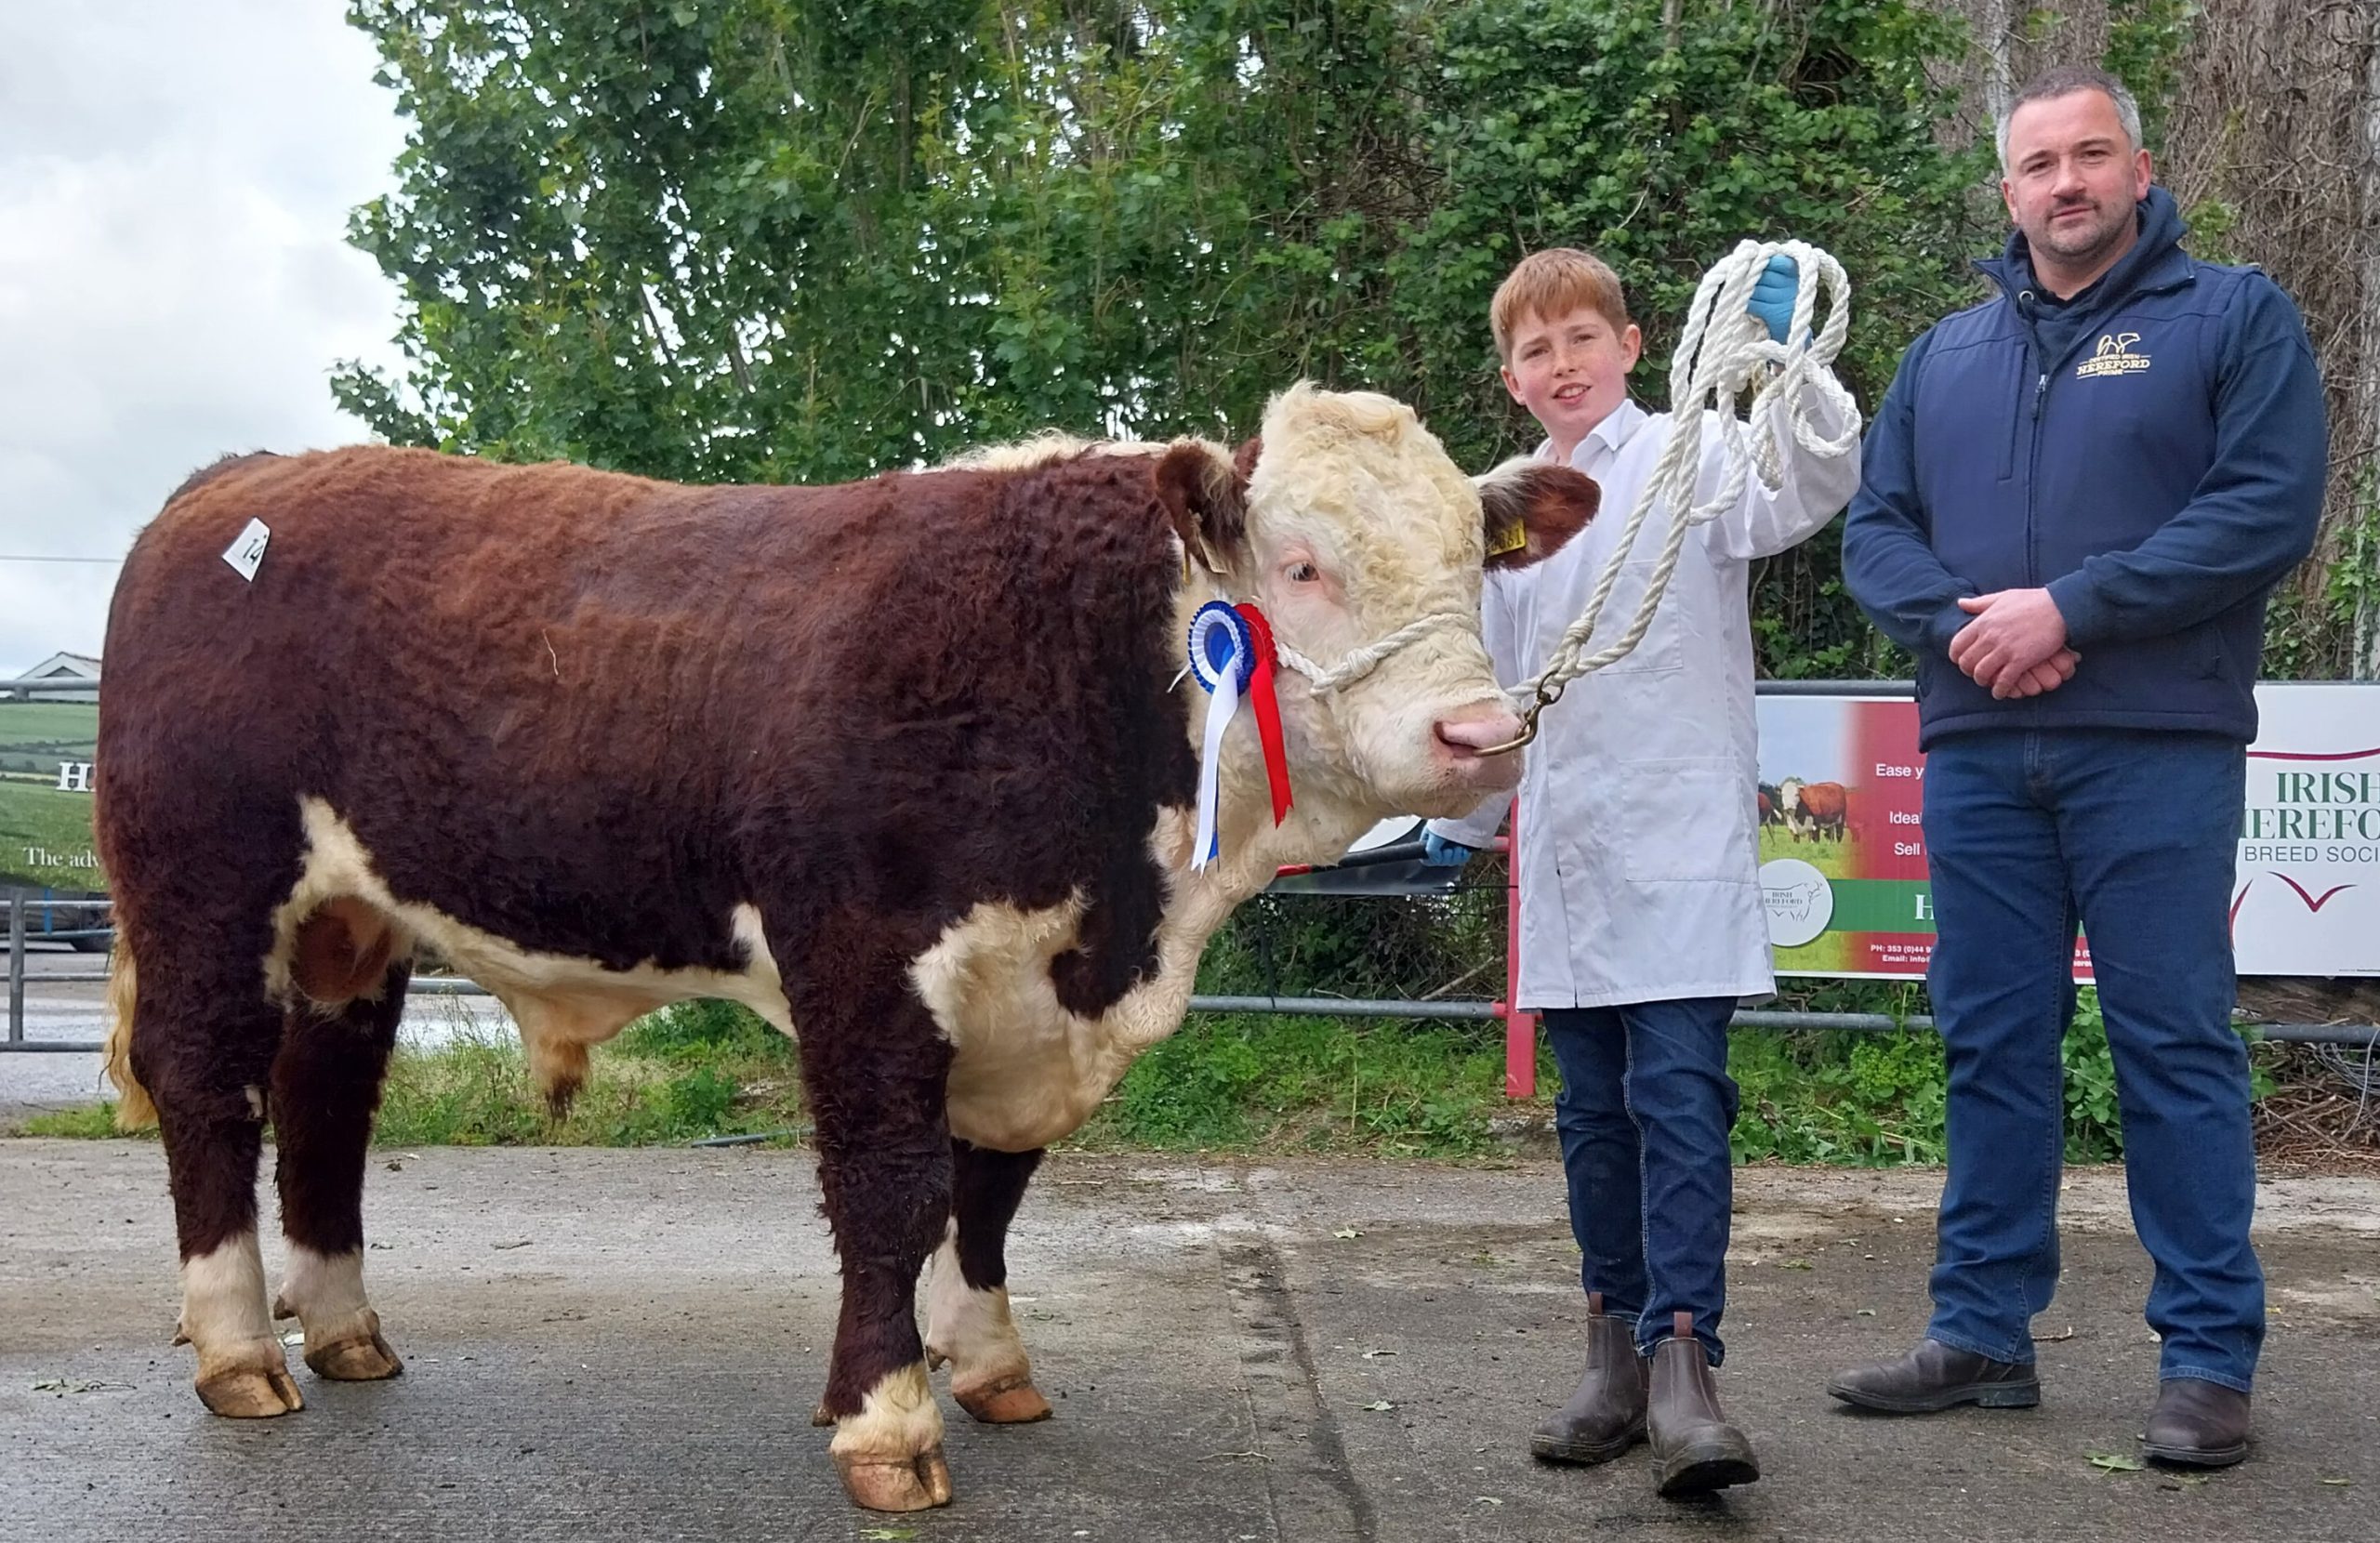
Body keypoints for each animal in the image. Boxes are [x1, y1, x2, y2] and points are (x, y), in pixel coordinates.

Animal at [95, 385, 1596, 1513]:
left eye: (1475, 564)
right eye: (1302, 567)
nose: (1479, 734)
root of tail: (232, 484)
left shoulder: (1022, 987)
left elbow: (986, 1194)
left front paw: (988, 1365)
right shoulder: (866, 960)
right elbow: (889, 1190)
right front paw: (886, 1421)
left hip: (351, 926)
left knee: (326, 1102)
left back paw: (346, 1330)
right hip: (207, 887)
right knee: (211, 1088)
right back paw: (240, 1348)